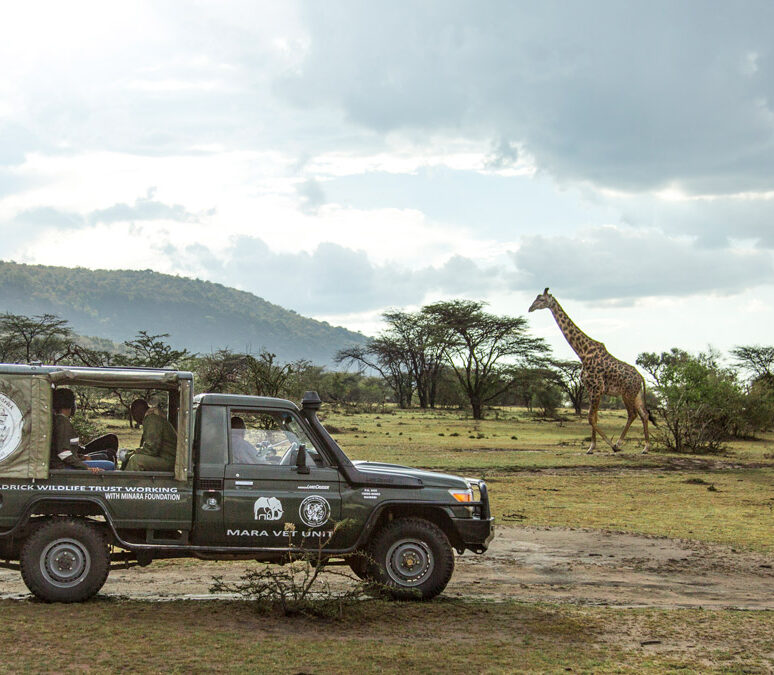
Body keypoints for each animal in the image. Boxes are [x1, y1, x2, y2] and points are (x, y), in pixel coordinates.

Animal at [528, 286, 656, 454]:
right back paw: (646, 447)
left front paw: (608, 445)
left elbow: (590, 417)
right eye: (535, 298)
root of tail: (640, 377)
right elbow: (594, 417)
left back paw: (619, 444)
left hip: (627, 393)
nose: (530, 308)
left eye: (541, 300)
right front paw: (592, 447)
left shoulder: (597, 388)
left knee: (632, 414)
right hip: (636, 394)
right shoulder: (590, 388)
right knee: (644, 414)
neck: (583, 353)